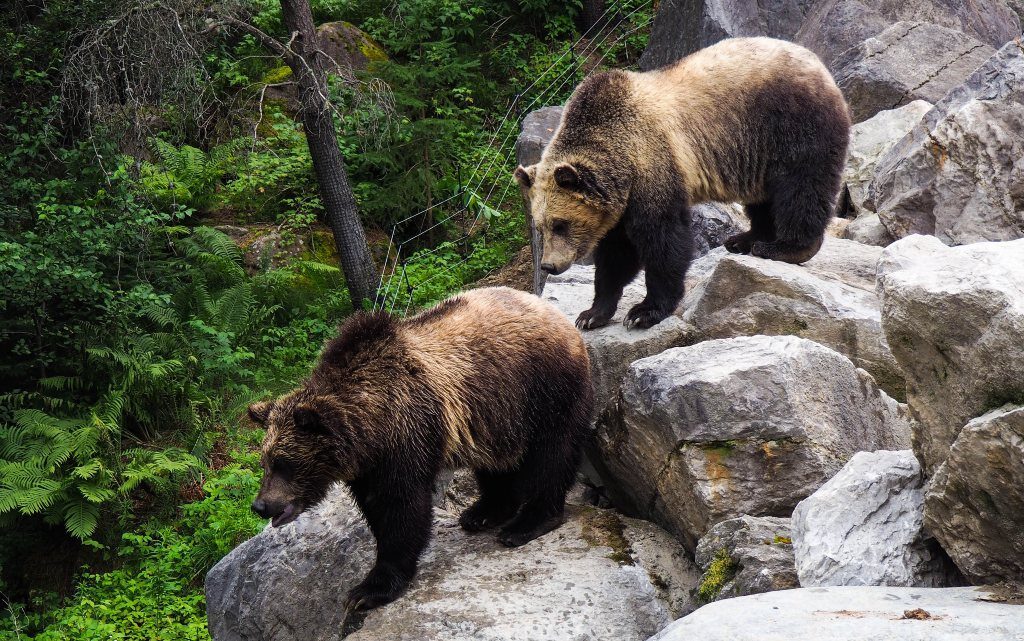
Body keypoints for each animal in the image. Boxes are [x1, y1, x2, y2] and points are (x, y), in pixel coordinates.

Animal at [248, 286, 598, 610]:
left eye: (284, 463)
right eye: (264, 462)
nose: (261, 505)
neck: (369, 427)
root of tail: (558, 317)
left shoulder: (407, 433)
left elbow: (402, 508)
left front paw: (368, 590)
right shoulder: (369, 465)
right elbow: (376, 508)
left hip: (544, 389)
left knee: (553, 455)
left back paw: (527, 523)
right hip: (496, 414)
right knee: (497, 463)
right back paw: (483, 512)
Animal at [516, 36, 851, 329]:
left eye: (561, 224)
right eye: (540, 226)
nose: (548, 266)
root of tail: (818, 63)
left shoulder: (653, 164)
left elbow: (663, 239)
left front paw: (644, 311)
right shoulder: (619, 202)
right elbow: (615, 254)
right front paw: (591, 314)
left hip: (791, 124)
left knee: (801, 187)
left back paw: (785, 247)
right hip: (757, 152)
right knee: (764, 197)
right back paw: (745, 239)